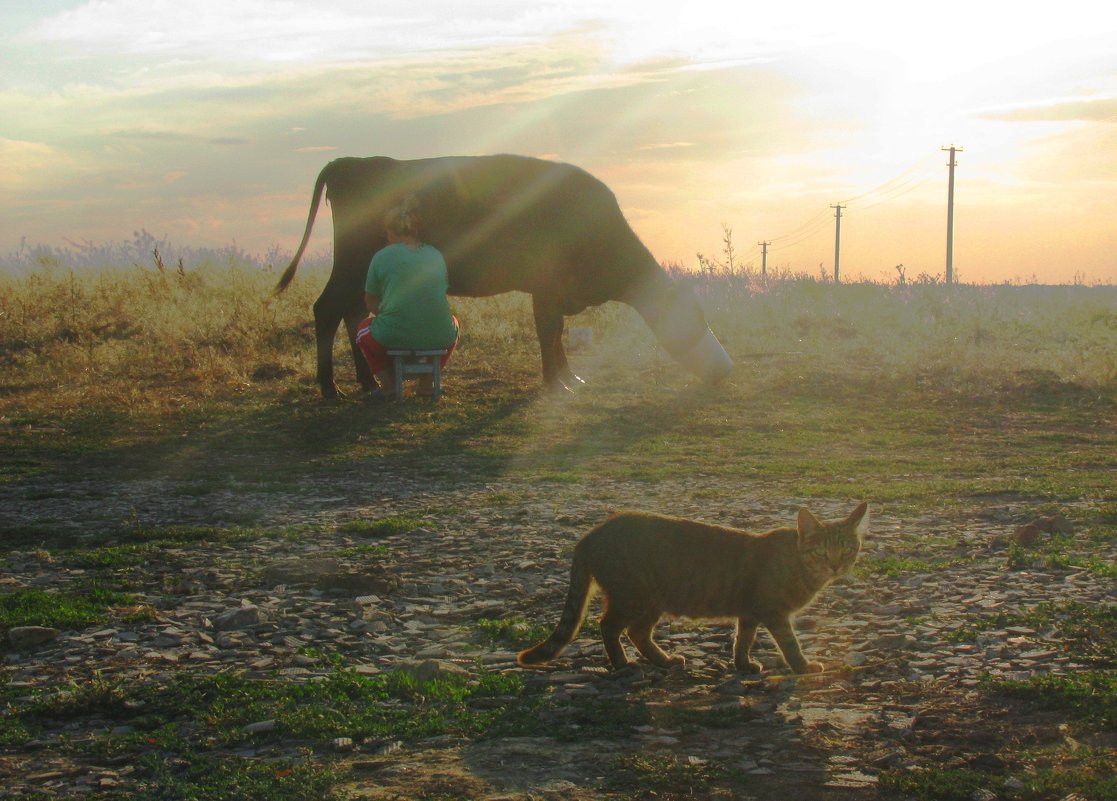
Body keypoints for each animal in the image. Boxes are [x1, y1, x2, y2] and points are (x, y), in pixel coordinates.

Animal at [275, 154, 732, 397]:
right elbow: (549, 333)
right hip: (351, 263)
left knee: (350, 312)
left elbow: (556, 333)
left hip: (359, 270)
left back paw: (368, 383)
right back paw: (332, 389)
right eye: (696, 319)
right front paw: (557, 384)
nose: (726, 369)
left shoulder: (554, 293)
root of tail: (351, 161)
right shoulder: (546, 288)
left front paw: (570, 378)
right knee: (327, 309)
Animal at [518, 502, 866, 670]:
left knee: (637, 633)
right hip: (634, 596)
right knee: (609, 626)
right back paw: (621, 663)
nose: (836, 565)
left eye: (848, 549)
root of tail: (591, 534)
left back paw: (664, 660)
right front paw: (803, 666)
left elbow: (743, 640)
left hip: (652, 601)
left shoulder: (750, 613)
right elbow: (790, 644)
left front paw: (742, 665)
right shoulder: (774, 612)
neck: (801, 567)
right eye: (821, 552)